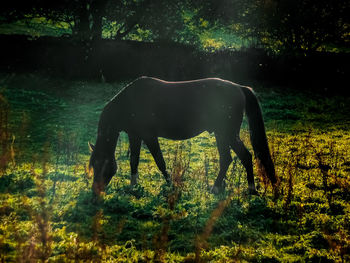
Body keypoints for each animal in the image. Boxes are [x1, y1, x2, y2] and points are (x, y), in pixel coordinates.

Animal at [87, 76, 276, 196]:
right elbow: (134, 161)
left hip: (227, 134)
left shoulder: (149, 136)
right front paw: (133, 187)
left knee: (240, 157)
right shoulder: (135, 136)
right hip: (222, 134)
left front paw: (170, 184)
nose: (95, 191)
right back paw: (232, 188)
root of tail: (240, 88)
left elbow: (160, 161)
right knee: (232, 158)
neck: (130, 101)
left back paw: (234, 188)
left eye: (101, 164)